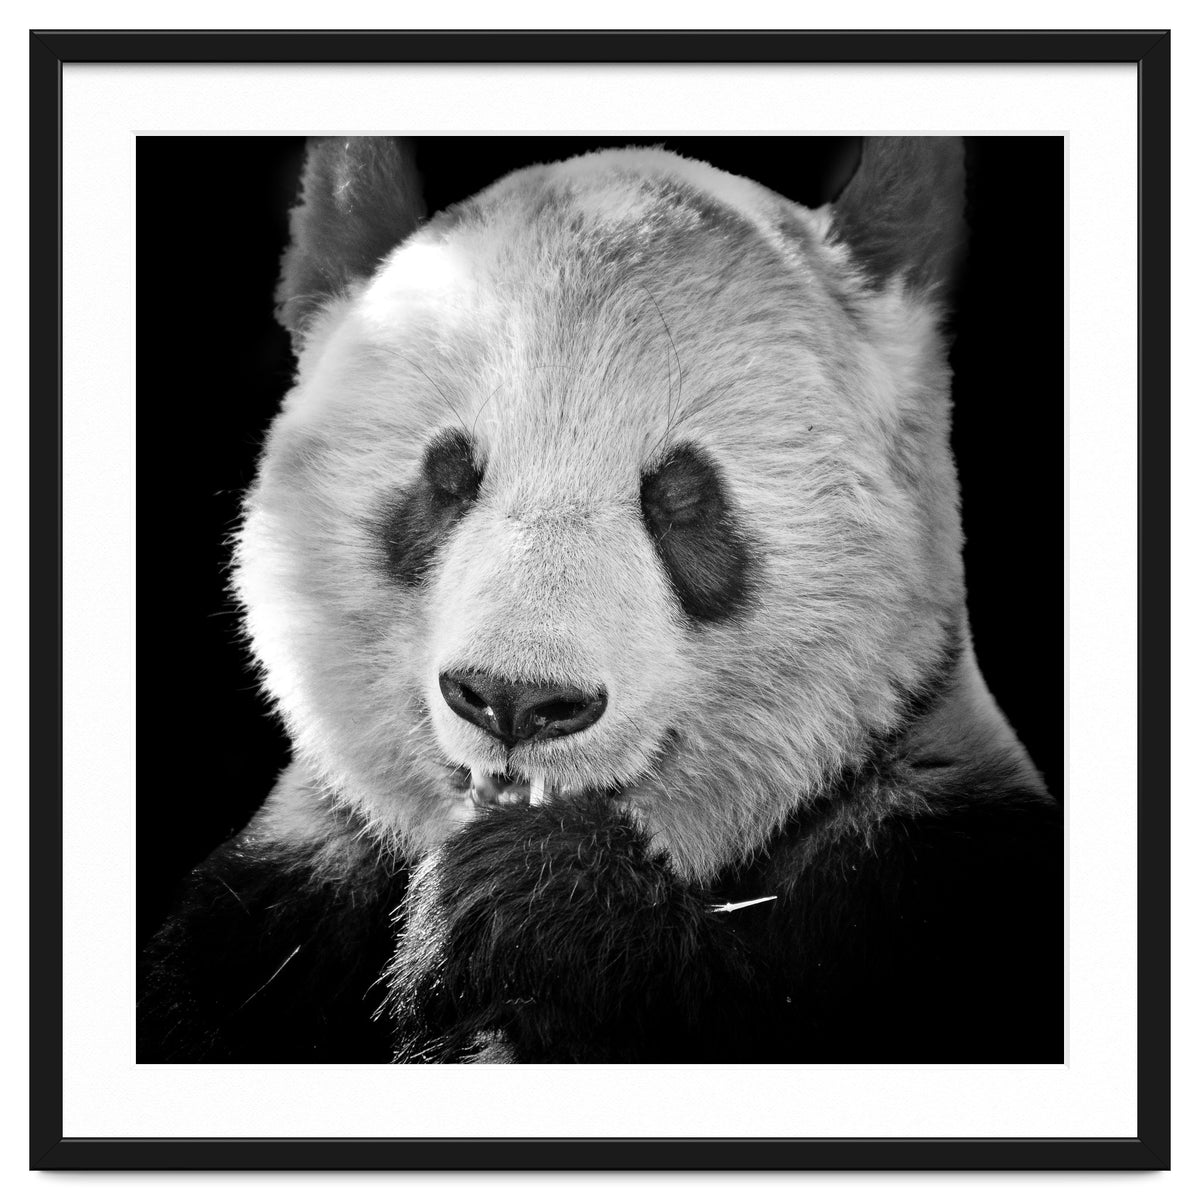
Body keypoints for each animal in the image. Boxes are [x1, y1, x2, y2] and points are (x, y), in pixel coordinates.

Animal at [138, 136, 1063, 1065]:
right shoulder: (273, 908)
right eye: (447, 479)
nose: (515, 700)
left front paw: (533, 901)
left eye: (682, 499)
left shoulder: (928, 873)